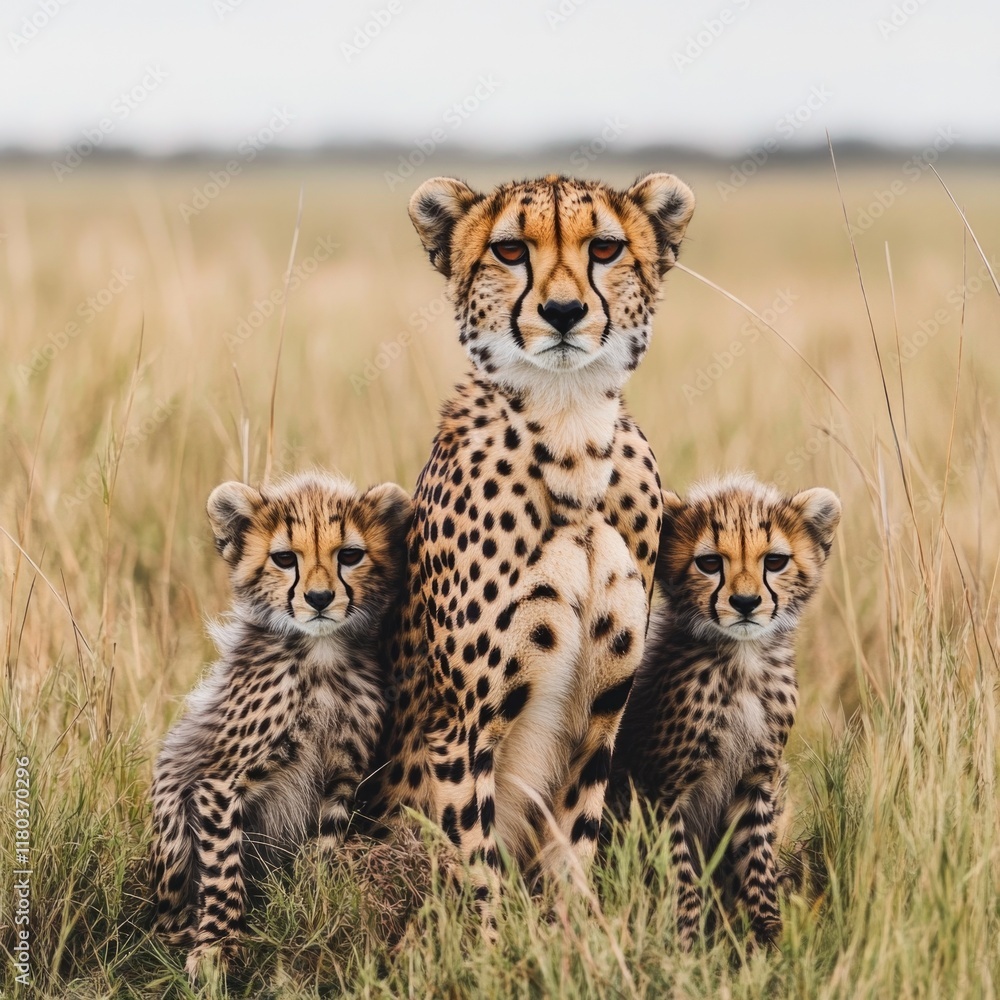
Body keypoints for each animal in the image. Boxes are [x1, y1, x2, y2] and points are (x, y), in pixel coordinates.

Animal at [149, 471, 412, 983]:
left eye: (350, 555)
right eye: (285, 558)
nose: (319, 599)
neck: (321, 655)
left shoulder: (342, 777)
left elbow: (323, 849)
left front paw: (315, 912)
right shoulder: (219, 782)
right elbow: (222, 870)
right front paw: (216, 949)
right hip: (170, 806)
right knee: (163, 913)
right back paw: (177, 934)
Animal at [361, 171, 696, 927]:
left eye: (605, 247)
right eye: (511, 250)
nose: (565, 311)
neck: (571, 429)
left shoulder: (600, 719)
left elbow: (573, 849)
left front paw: (576, 939)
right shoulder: (460, 729)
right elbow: (476, 863)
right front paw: (493, 943)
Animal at [607, 472, 841, 952]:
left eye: (775, 561)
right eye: (710, 563)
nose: (746, 602)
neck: (742, 658)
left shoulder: (757, 777)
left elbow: (758, 864)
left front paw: (769, 940)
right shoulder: (657, 790)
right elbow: (681, 878)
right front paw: (685, 948)